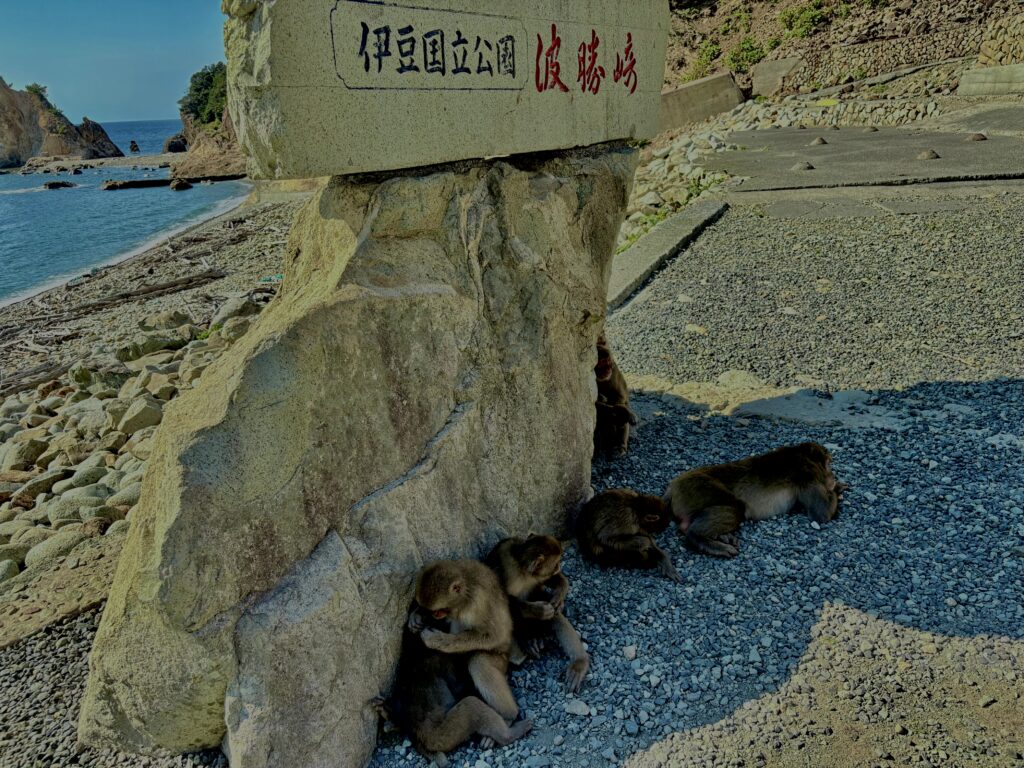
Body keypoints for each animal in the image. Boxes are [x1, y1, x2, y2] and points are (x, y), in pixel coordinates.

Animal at [373, 609, 532, 766]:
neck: (417, 651)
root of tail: (420, 738)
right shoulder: (444, 662)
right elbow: (457, 686)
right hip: (446, 734)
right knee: (472, 706)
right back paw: (513, 731)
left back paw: (387, 715)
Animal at [410, 559, 522, 723]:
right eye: (432, 610)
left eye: (440, 609)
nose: (435, 615)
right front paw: (416, 615)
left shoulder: (478, 603)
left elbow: (494, 635)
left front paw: (437, 640)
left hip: (501, 659)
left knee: (479, 663)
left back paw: (509, 715)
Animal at [485, 535, 591, 693]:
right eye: (556, 562)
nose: (559, 567)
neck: (523, 570)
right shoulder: (504, 571)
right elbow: (498, 602)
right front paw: (538, 611)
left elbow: (551, 584)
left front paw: (560, 592)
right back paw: (531, 638)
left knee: (555, 615)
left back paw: (579, 662)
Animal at [665, 441, 847, 559]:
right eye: (829, 463)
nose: (832, 475)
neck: (802, 455)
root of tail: (673, 486)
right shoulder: (808, 472)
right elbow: (822, 513)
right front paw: (837, 488)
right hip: (696, 487)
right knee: (737, 507)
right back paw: (701, 538)